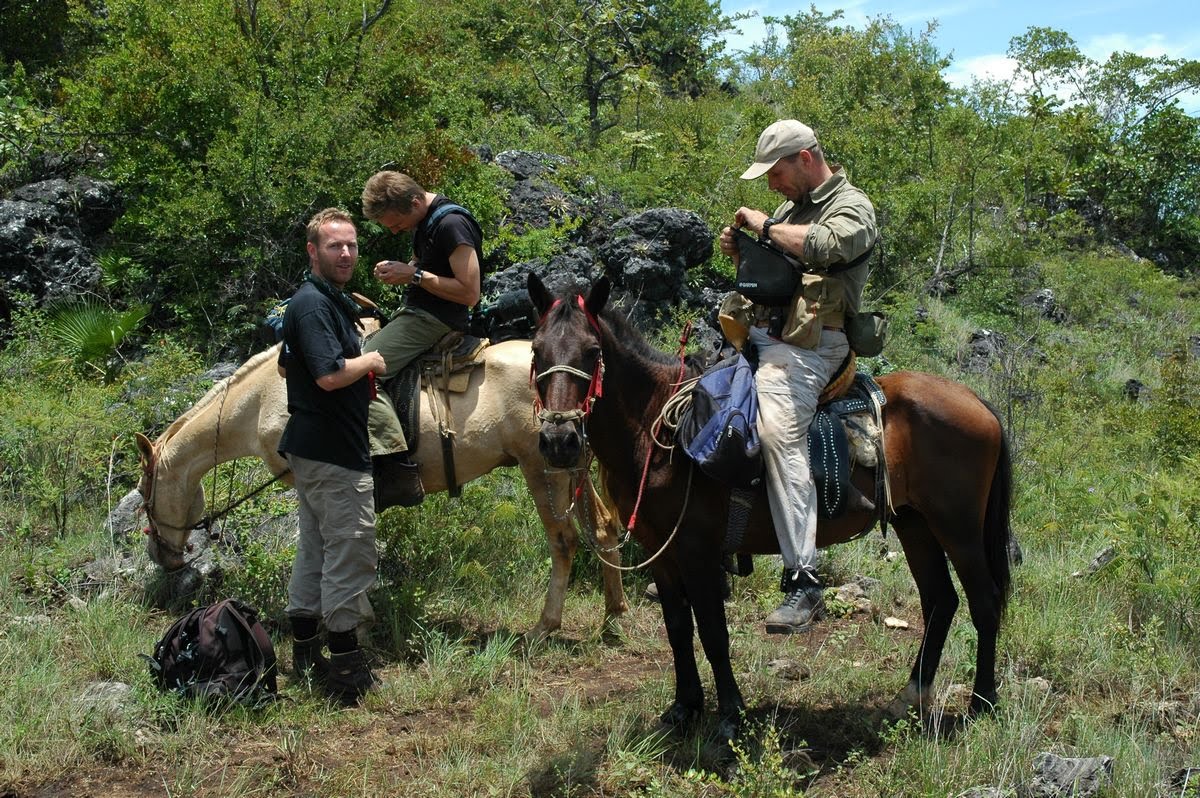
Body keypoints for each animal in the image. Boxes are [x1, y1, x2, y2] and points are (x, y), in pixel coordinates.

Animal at [133, 336, 628, 643]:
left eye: (143, 495)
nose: (162, 557)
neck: (264, 401)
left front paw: (358, 624)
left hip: (543, 468)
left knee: (564, 542)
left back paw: (546, 626)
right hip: (572, 465)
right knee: (603, 530)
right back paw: (614, 615)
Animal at [530, 273, 1008, 739]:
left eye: (593, 352)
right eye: (536, 351)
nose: (558, 441)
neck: (657, 430)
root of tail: (977, 401)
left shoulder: (697, 551)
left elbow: (713, 632)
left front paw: (730, 715)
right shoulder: (659, 552)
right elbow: (678, 629)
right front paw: (685, 707)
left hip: (958, 528)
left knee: (983, 601)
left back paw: (982, 702)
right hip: (915, 524)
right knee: (940, 601)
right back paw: (909, 697)